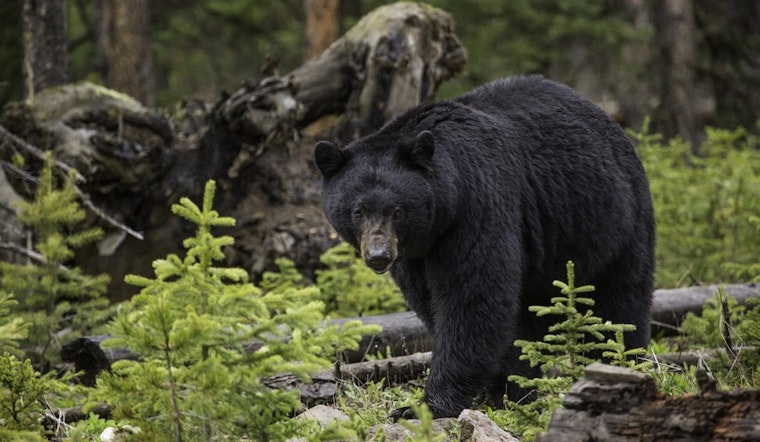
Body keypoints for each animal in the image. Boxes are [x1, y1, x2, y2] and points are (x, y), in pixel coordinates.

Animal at [314, 75, 655, 419]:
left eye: (397, 210)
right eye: (357, 211)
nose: (378, 256)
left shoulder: (477, 206)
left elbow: (473, 298)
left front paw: (426, 406)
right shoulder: (415, 254)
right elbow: (433, 302)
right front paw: (502, 389)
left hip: (614, 221)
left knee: (619, 302)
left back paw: (618, 364)